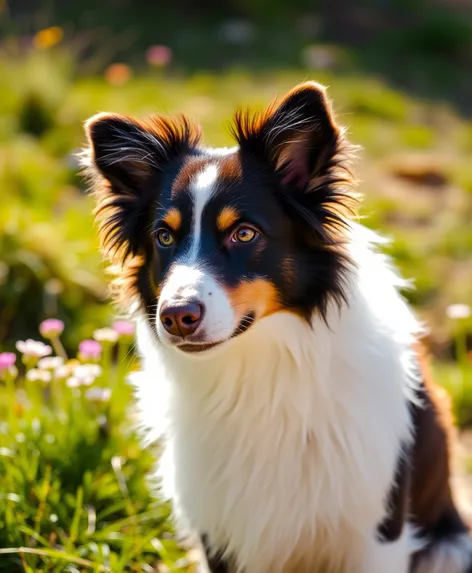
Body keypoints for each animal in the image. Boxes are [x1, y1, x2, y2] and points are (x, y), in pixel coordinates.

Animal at [82, 81, 472, 572]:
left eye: (244, 233)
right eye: (164, 237)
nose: (175, 316)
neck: (260, 368)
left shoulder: (379, 530)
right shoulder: (220, 530)